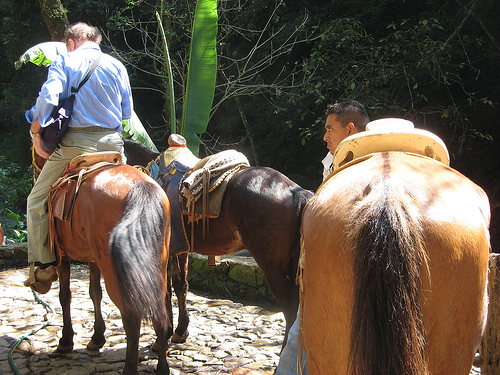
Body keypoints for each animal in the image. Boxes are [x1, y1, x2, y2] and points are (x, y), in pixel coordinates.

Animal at [33, 151, 172, 374]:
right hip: (156, 266)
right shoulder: (93, 259)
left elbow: (65, 296)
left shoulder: (63, 257)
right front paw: (97, 338)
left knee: (132, 319)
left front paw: (66, 341)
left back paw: (130, 368)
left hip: (117, 273)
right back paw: (162, 366)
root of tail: (140, 187)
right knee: (161, 311)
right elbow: (94, 293)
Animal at [122, 139, 312, 346]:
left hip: (273, 267)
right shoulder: (181, 248)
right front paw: (180, 331)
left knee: (289, 306)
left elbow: (164, 290)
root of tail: (294, 191)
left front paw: (162, 339)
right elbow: (181, 287)